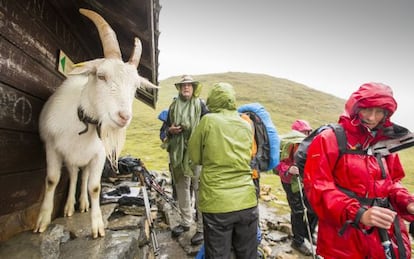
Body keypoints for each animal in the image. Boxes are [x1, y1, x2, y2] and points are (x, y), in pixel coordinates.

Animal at [33, 8, 157, 240]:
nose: (124, 116)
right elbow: (52, 180)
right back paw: (69, 207)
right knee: (74, 175)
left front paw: (97, 226)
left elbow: (94, 187)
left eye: (136, 86)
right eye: (101, 75)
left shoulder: (99, 155)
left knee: (82, 178)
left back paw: (82, 203)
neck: (82, 123)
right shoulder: (51, 146)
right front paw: (42, 221)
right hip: (71, 157)